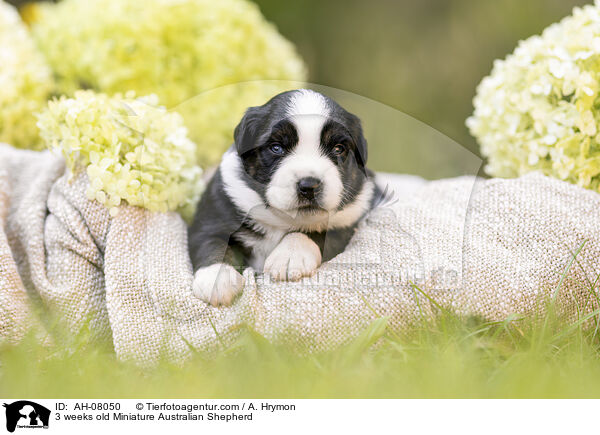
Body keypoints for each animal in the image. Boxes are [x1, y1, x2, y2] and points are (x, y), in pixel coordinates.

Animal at [189, 88, 380, 306]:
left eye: (338, 148)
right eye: (276, 147)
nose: (309, 185)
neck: (280, 219)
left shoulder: (347, 222)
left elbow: (316, 231)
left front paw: (290, 256)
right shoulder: (212, 218)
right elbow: (213, 244)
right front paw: (216, 279)